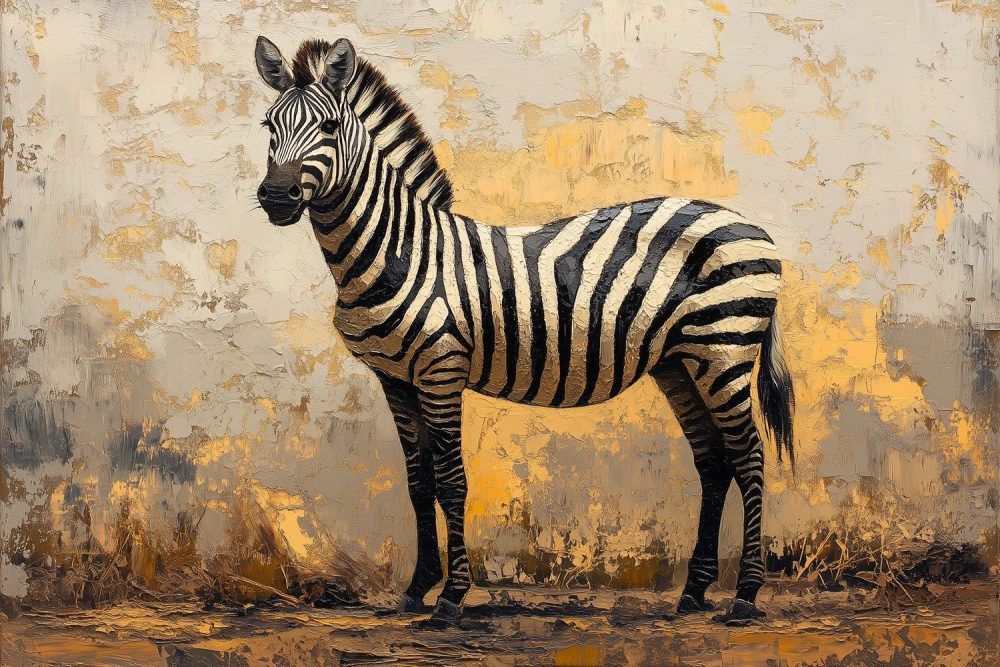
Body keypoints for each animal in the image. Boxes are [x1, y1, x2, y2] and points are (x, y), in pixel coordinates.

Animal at [253, 36, 795, 626]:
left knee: (749, 457)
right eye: (267, 125)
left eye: (329, 127)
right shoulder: (394, 376)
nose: (277, 196)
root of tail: (754, 227)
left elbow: (451, 479)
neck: (398, 249)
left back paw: (745, 596)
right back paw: (693, 593)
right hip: (680, 362)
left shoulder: (441, 367)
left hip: (724, 348)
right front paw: (416, 587)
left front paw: (451, 597)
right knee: (714, 461)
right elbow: (418, 481)